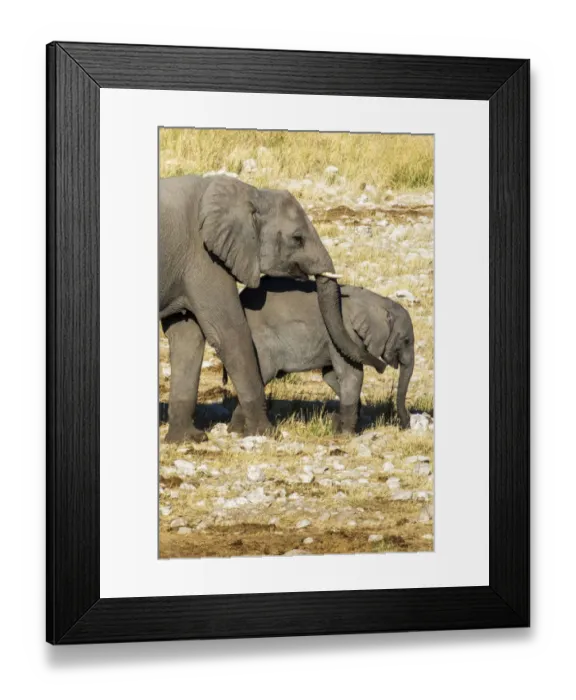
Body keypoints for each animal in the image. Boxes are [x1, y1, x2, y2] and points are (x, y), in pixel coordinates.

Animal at [160, 174, 385, 442]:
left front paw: (188, 439)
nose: (382, 366)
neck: (250, 193)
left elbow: (187, 336)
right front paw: (264, 433)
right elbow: (229, 333)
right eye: (297, 239)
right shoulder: (203, 258)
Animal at [224, 277, 415, 434]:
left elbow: (330, 375)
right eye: (406, 341)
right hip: (261, 342)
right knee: (262, 374)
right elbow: (352, 374)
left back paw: (235, 430)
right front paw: (347, 434)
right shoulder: (347, 332)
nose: (405, 426)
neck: (377, 301)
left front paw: (338, 423)